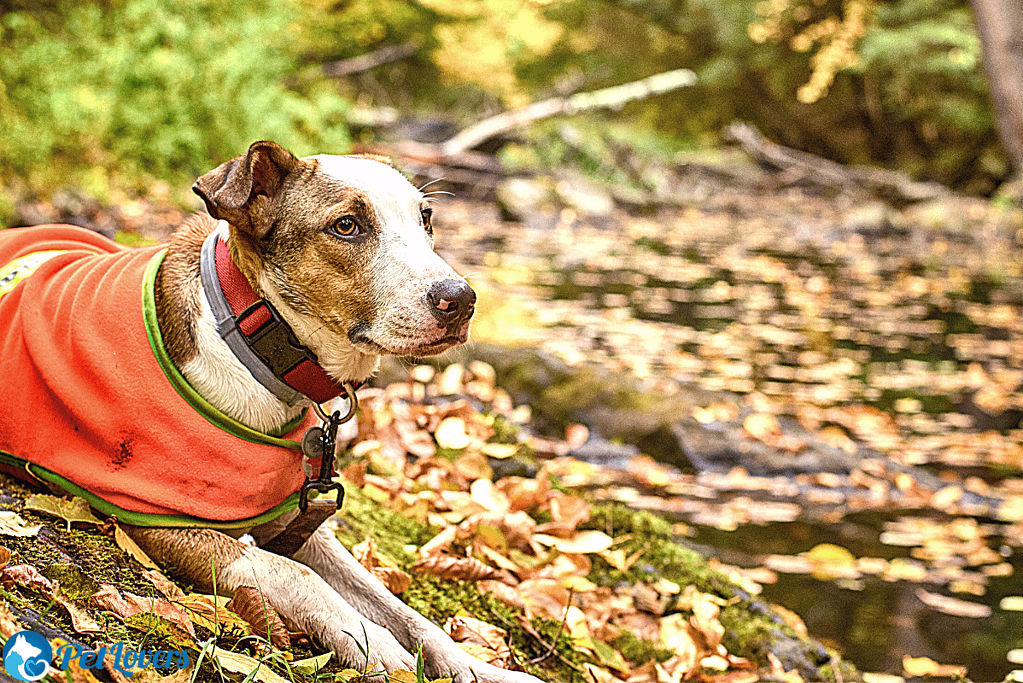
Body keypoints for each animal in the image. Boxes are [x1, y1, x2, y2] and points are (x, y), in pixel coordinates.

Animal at [0, 140, 544, 683]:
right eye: (347, 225)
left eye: (425, 217)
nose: (461, 298)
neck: (254, 338)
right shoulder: (159, 521)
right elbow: (295, 573)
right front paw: (375, 647)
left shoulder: (297, 523)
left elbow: (399, 608)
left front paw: (479, 667)